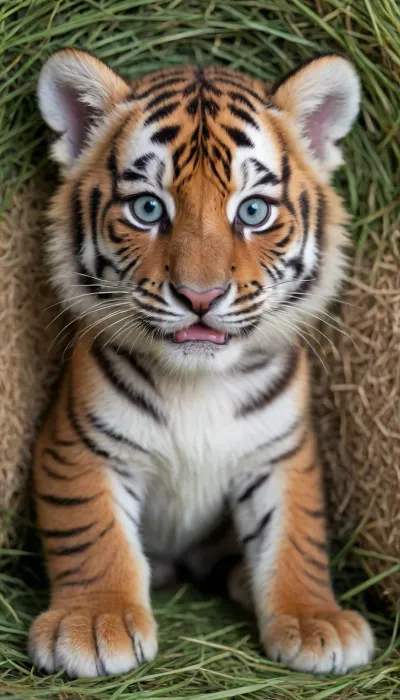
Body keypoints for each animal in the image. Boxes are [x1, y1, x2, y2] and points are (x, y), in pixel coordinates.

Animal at [28, 49, 374, 678]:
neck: (198, 382)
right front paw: (93, 623)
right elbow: (92, 531)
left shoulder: (282, 453)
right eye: (148, 208)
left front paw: (317, 622)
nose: (200, 296)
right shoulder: (80, 445)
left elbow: (296, 537)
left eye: (254, 211)